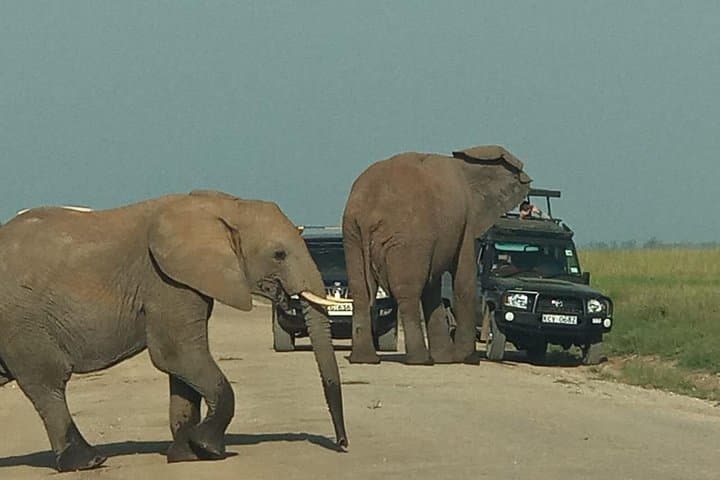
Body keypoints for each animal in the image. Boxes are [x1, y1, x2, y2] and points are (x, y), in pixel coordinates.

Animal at [0, 190, 348, 472]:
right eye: (279, 254)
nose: (342, 445)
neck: (224, 206)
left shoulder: (187, 280)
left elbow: (182, 370)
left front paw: (187, 454)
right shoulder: (166, 281)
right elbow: (176, 356)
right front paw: (208, 448)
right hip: (22, 322)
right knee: (48, 382)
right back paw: (88, 461)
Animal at [343, 145, 532, 365]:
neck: (467, 164)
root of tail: (367, 214)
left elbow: (433, 287)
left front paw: (446, 358)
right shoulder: (467, 219)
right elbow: (464, 280)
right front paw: (466, 359)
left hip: (353, 234)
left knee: (360, 290)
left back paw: (364, 359)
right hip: (408, 238)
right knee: (408, 292)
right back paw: (420, 360)